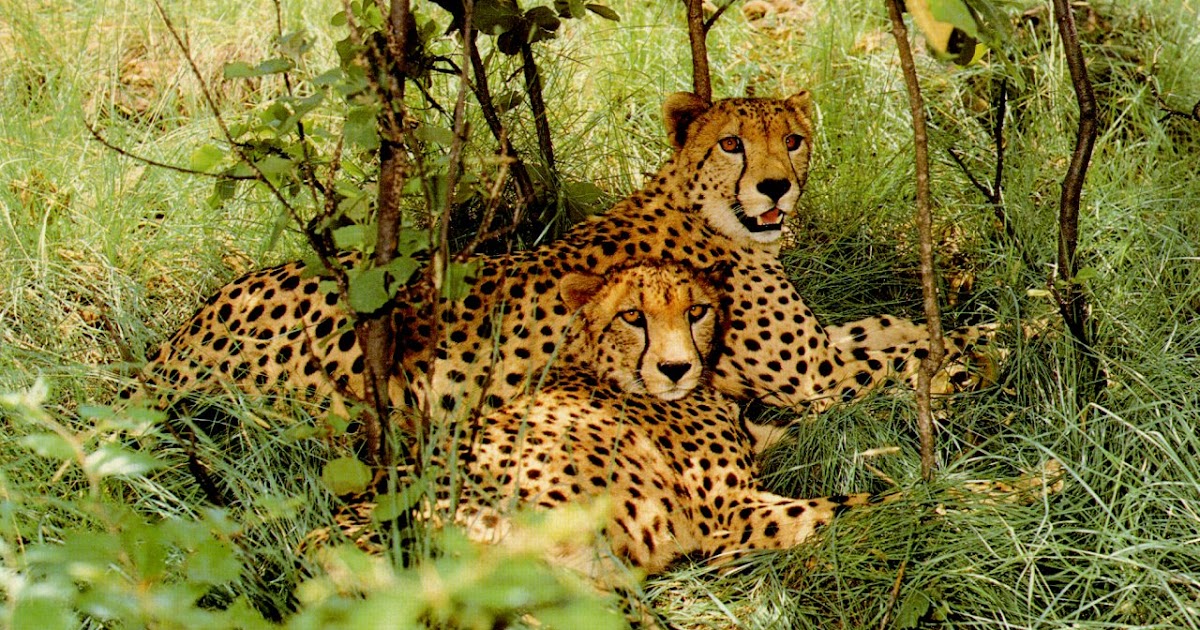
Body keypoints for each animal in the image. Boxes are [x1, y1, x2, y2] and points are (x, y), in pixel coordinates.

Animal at [127, 90, 1004, 450]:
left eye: (791, 140)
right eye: (732, 143)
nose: (775, 187)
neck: (701, 207)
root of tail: (173, 341)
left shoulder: (818, 348)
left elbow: (894, 325)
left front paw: (979, 330)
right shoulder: (810, 377)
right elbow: (907, 353)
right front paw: (986, 357)